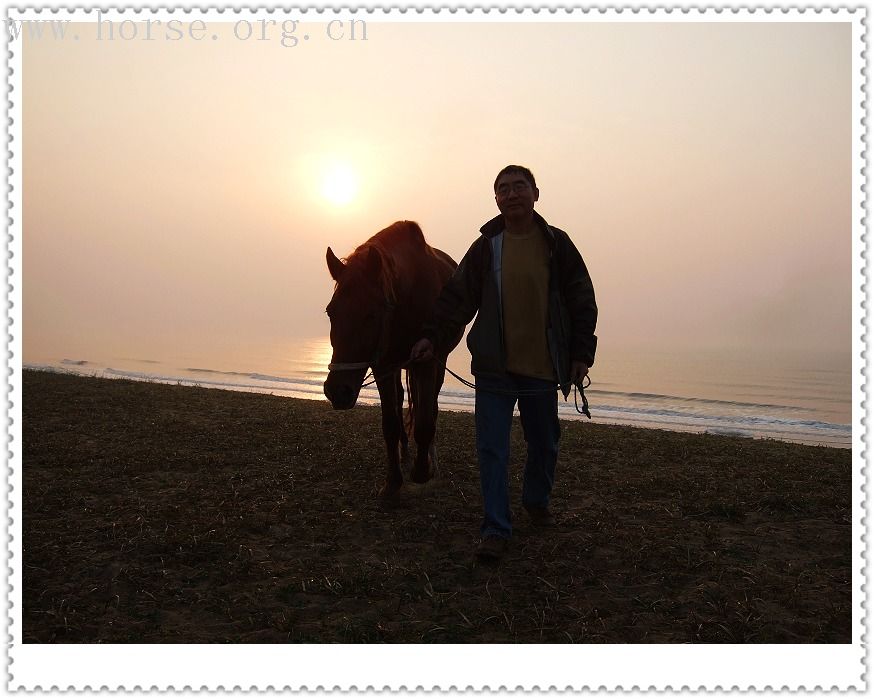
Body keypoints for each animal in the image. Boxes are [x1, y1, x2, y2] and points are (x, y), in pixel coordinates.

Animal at [322, 221, 460, 500]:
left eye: (371, 315)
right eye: (331, 312)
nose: (337, 391)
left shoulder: (427, 361)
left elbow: (425, 421)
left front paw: (421, 471)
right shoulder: (383, 366)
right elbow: (390, 424)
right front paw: (393, 482)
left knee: (431, 407)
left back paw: (430, 458)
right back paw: (405, 450)